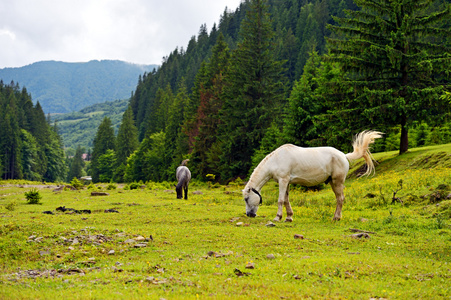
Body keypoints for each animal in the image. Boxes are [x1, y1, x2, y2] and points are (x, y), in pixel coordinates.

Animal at [245, 130, 384, 221]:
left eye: (246, 199)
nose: (249, 215)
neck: (276, 160)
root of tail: (344, 156)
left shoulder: (283, 181)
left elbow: (280, 200)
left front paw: (277, 217)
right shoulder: (286, 182)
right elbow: (286, 200)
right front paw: (289, 217)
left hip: (337, 182)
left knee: (340, 199)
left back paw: (336, 218)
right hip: (333, 182)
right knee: (339, 199)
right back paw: (336, 217)